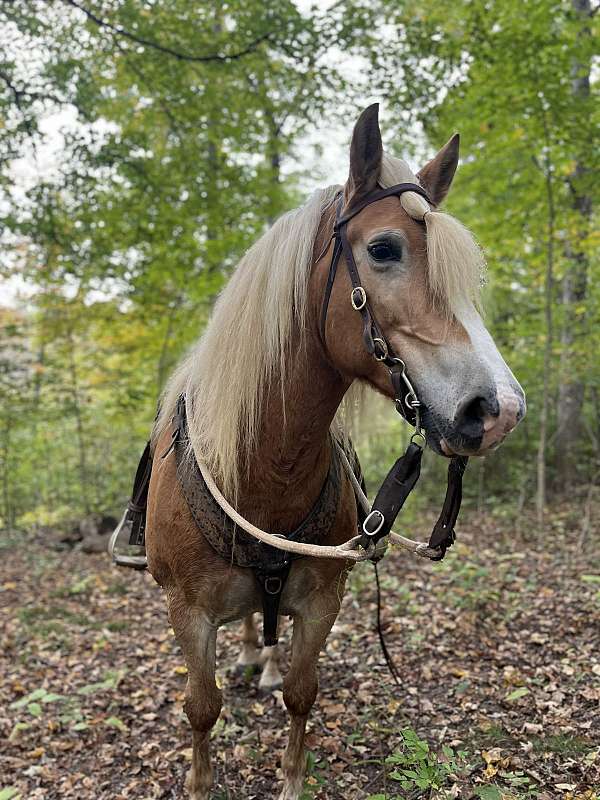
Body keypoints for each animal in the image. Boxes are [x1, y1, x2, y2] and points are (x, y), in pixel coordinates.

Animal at [145, 103, 525, 800]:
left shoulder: (322, 602)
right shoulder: (187, 612)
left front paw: (292, 773)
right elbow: (201, 708)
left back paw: (262, 661)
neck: (263, 476)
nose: (499, 410)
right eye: (383, 249)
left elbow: (301, 692)